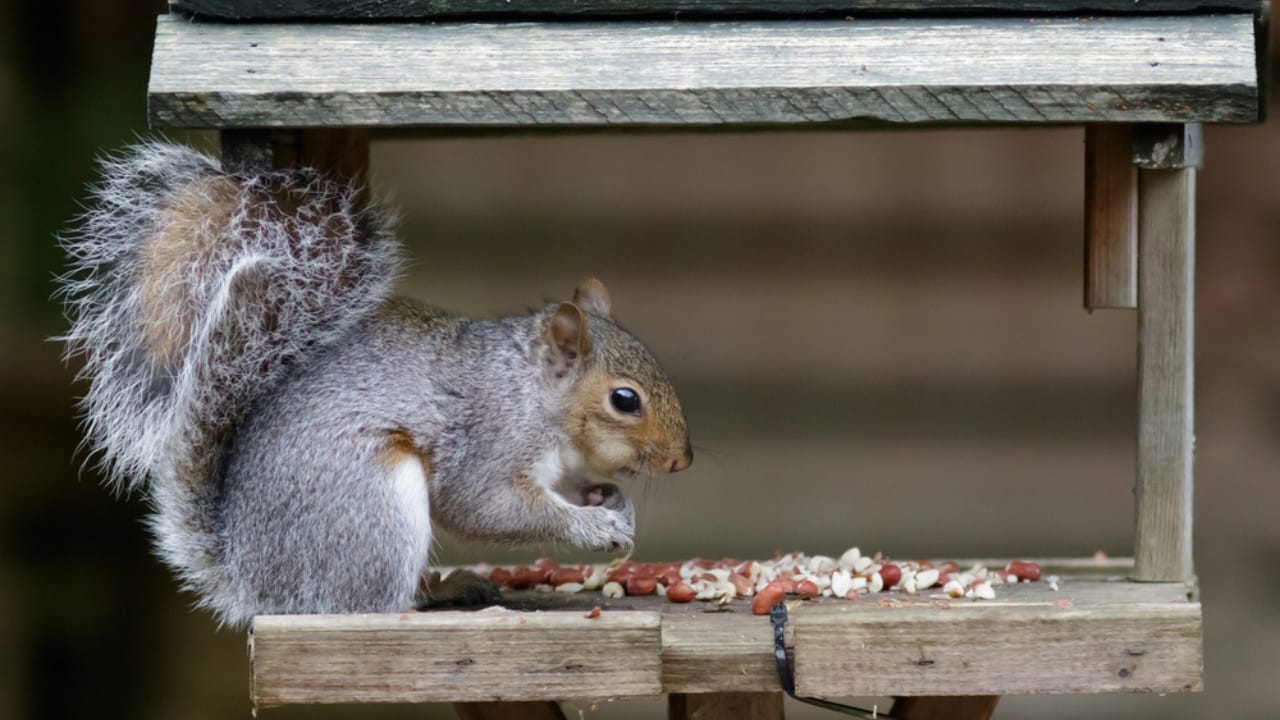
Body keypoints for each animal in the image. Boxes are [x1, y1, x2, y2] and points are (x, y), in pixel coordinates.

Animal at [58, 142, 693, 628]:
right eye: (625, 400)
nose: (682, 460)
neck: (535, 395)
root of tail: (256, 581)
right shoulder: (489, 439)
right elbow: (488, 506)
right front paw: (595, 526)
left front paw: (611, 502)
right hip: (372, 502)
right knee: (373, 603)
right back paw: (438, 595)